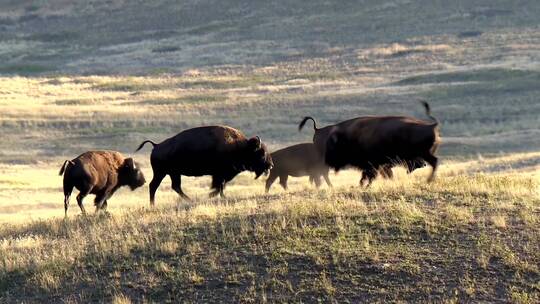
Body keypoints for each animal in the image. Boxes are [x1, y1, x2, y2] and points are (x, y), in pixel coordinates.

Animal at [135, 124, 274, 205]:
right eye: (261, 153)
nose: (271, 165)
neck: (241, 147)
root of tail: (156, 145)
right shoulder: (220, 173)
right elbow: (220, 185)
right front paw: (215, 195)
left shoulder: (220, 174)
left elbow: (221, 185)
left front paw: (216, 195)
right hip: (162, 173)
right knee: (155, 186)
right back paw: (153, 204)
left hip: (173, 173)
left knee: (175, 186)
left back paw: (189, 200)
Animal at [298, 101, 440, 185]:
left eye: (333, 147)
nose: (328, 159)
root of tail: (431, 125)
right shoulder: (375, 165)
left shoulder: (374, 164)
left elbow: (371, 176)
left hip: (425, 154)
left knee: (434, 162)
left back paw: (429, 180)